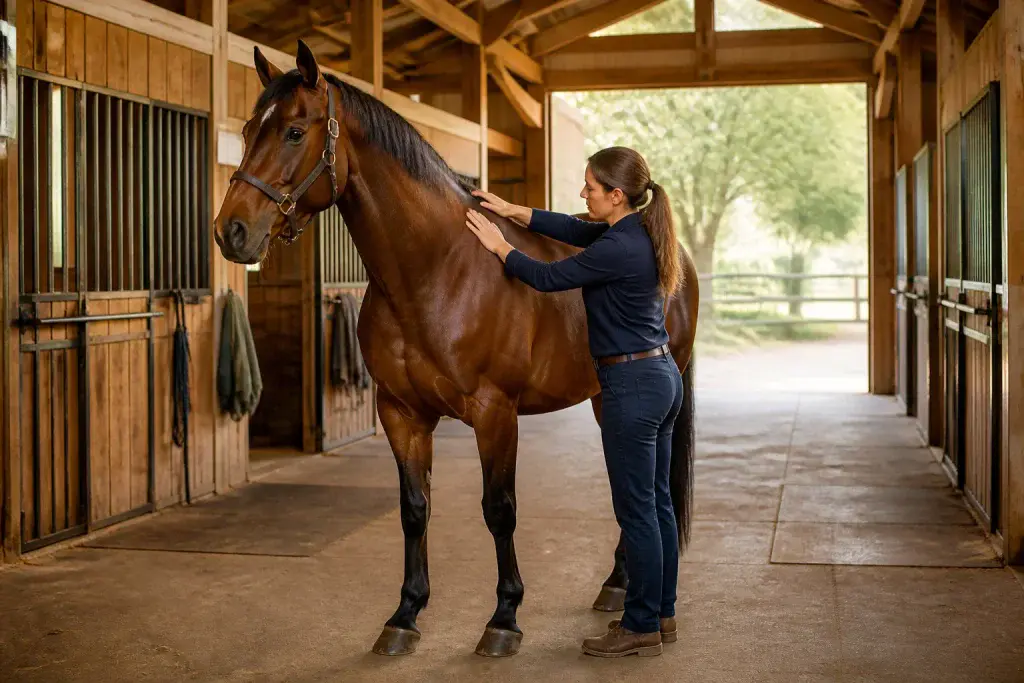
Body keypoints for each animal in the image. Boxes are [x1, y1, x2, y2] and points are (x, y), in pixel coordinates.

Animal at [213, 41, 699, 658]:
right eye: (249, 128)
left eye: (295, 132)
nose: (231, 232)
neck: (436, 269)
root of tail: (676, 258)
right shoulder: (401, 413)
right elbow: (414, 509)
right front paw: (404, 614)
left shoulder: (495, 414)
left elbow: (499, 510)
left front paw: (504, 619)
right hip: (601, 398)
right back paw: (617, 584)